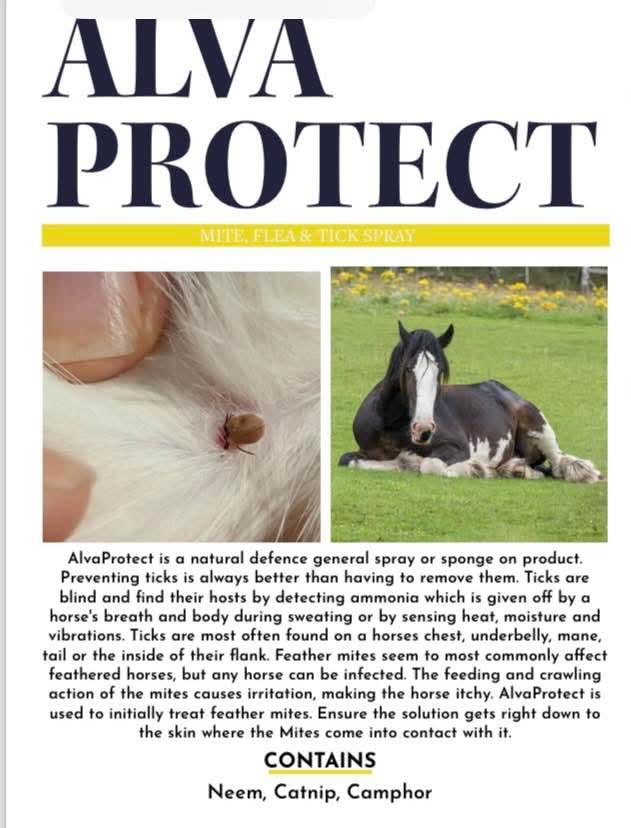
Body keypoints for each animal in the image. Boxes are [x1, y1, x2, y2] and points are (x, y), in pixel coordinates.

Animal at [338, 321, 602, 483]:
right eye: (408, 369)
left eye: (440, 372)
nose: (423, 430)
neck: (391, 423)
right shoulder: (364, 452)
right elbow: (348, 461)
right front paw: (404, 461)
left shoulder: (457, 448)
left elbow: (430, 465)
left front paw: (472, 468)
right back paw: (515, 469)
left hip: (541, 431)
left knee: (559, 463)